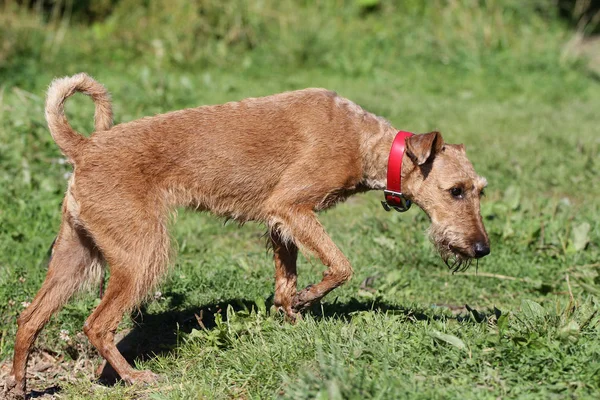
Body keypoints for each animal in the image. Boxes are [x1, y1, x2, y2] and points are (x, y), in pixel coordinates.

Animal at [4, 72, 490, 396]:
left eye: (480, 190)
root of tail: (85, 148)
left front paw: (292, 317)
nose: (482, 248)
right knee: (97, 324)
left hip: (76, 258)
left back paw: (21, 383)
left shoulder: (282, 224)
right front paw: (307, 299)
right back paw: (137, 377)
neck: (367, 142)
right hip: (142, 254)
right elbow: (340, 266)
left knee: (30, 318)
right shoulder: (291, 206)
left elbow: (286, 278)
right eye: (456, 190)